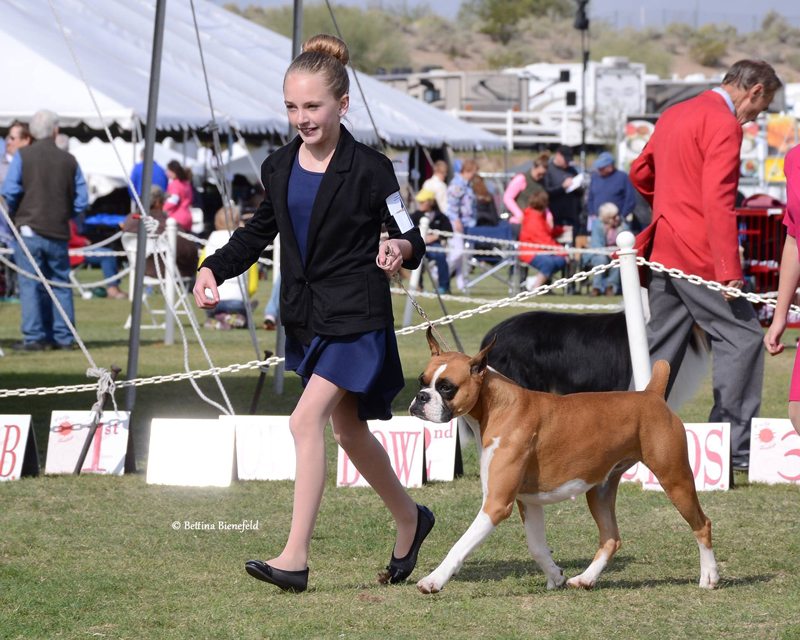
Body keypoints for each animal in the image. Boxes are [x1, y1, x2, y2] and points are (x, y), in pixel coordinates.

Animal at [409, 328, 719, 594]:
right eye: (422, 381)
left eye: (446, 387)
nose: (421, 397)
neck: (495, 405)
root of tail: (651, 395)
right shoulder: (528, 501)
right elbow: (536, 546)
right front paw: (555, 576)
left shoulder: (496, 504)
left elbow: (460, 545)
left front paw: (433, 580)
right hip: (600, 490)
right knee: (611, 538)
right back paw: (585, 579)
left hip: (675, 479)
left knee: (702, 524)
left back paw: (709, 576)